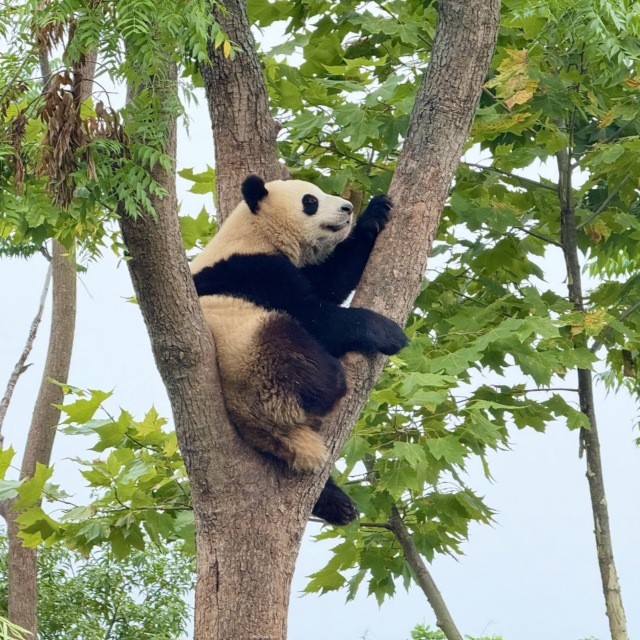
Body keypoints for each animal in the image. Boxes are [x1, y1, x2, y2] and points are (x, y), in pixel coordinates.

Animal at [190, 175, 408, 526]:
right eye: (310, 201)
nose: (347, 208)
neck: (255, 230)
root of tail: (258, 424)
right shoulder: (252, 270)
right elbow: (313, 314)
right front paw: (387, 332)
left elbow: (330, 280)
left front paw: (374, 215)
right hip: (252, 355)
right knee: (296, 353)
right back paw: (330, 384)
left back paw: (337, 504)